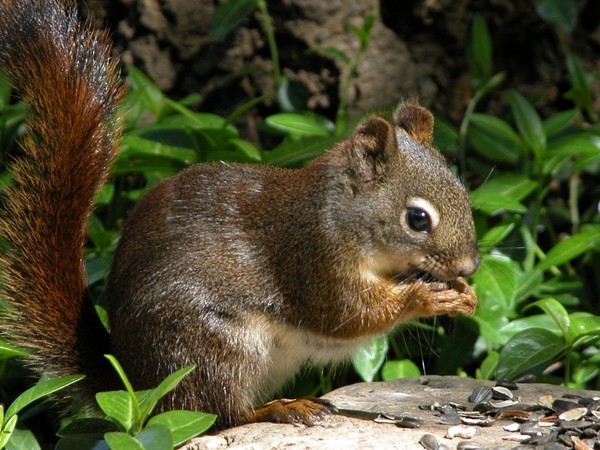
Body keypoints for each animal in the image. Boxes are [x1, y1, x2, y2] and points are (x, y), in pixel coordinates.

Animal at [0, 0, 478, 428]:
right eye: (417, 219)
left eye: (463, 190)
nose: (470, 266)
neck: (340, 213)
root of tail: (137, 385)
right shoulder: (313, 260)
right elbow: (349, 315)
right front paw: (426, 297)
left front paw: (466, 294)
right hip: (211, 349)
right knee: (218, 412)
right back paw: (280, 408)